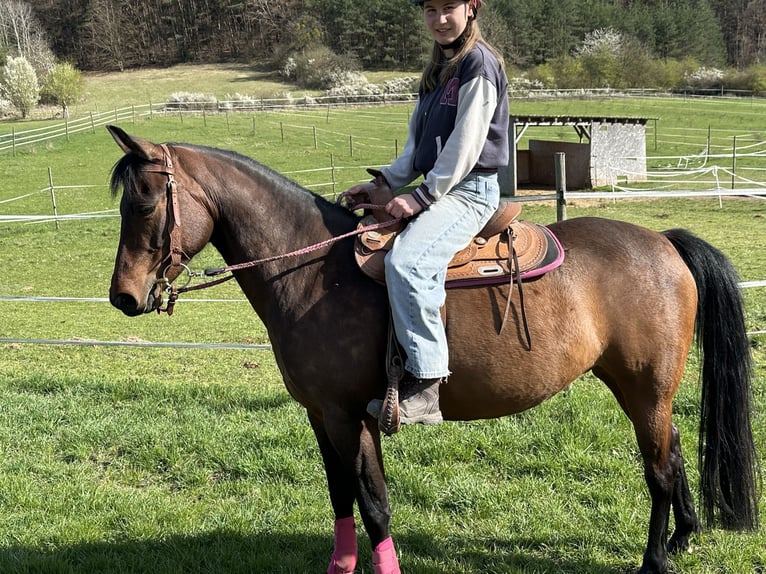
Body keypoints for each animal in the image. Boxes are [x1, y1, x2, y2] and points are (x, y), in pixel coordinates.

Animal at [105, 125, 758, 574]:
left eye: (143, 203)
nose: (124, 296)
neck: (313, 268)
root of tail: (664, 243)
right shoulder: (321, 415)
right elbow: (341, 496)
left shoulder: (350, 414)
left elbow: (373, 503)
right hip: (647, 391)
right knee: (675, 452)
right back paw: (683, 537)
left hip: (645, 387)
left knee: (659, 471)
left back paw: (655, 559)